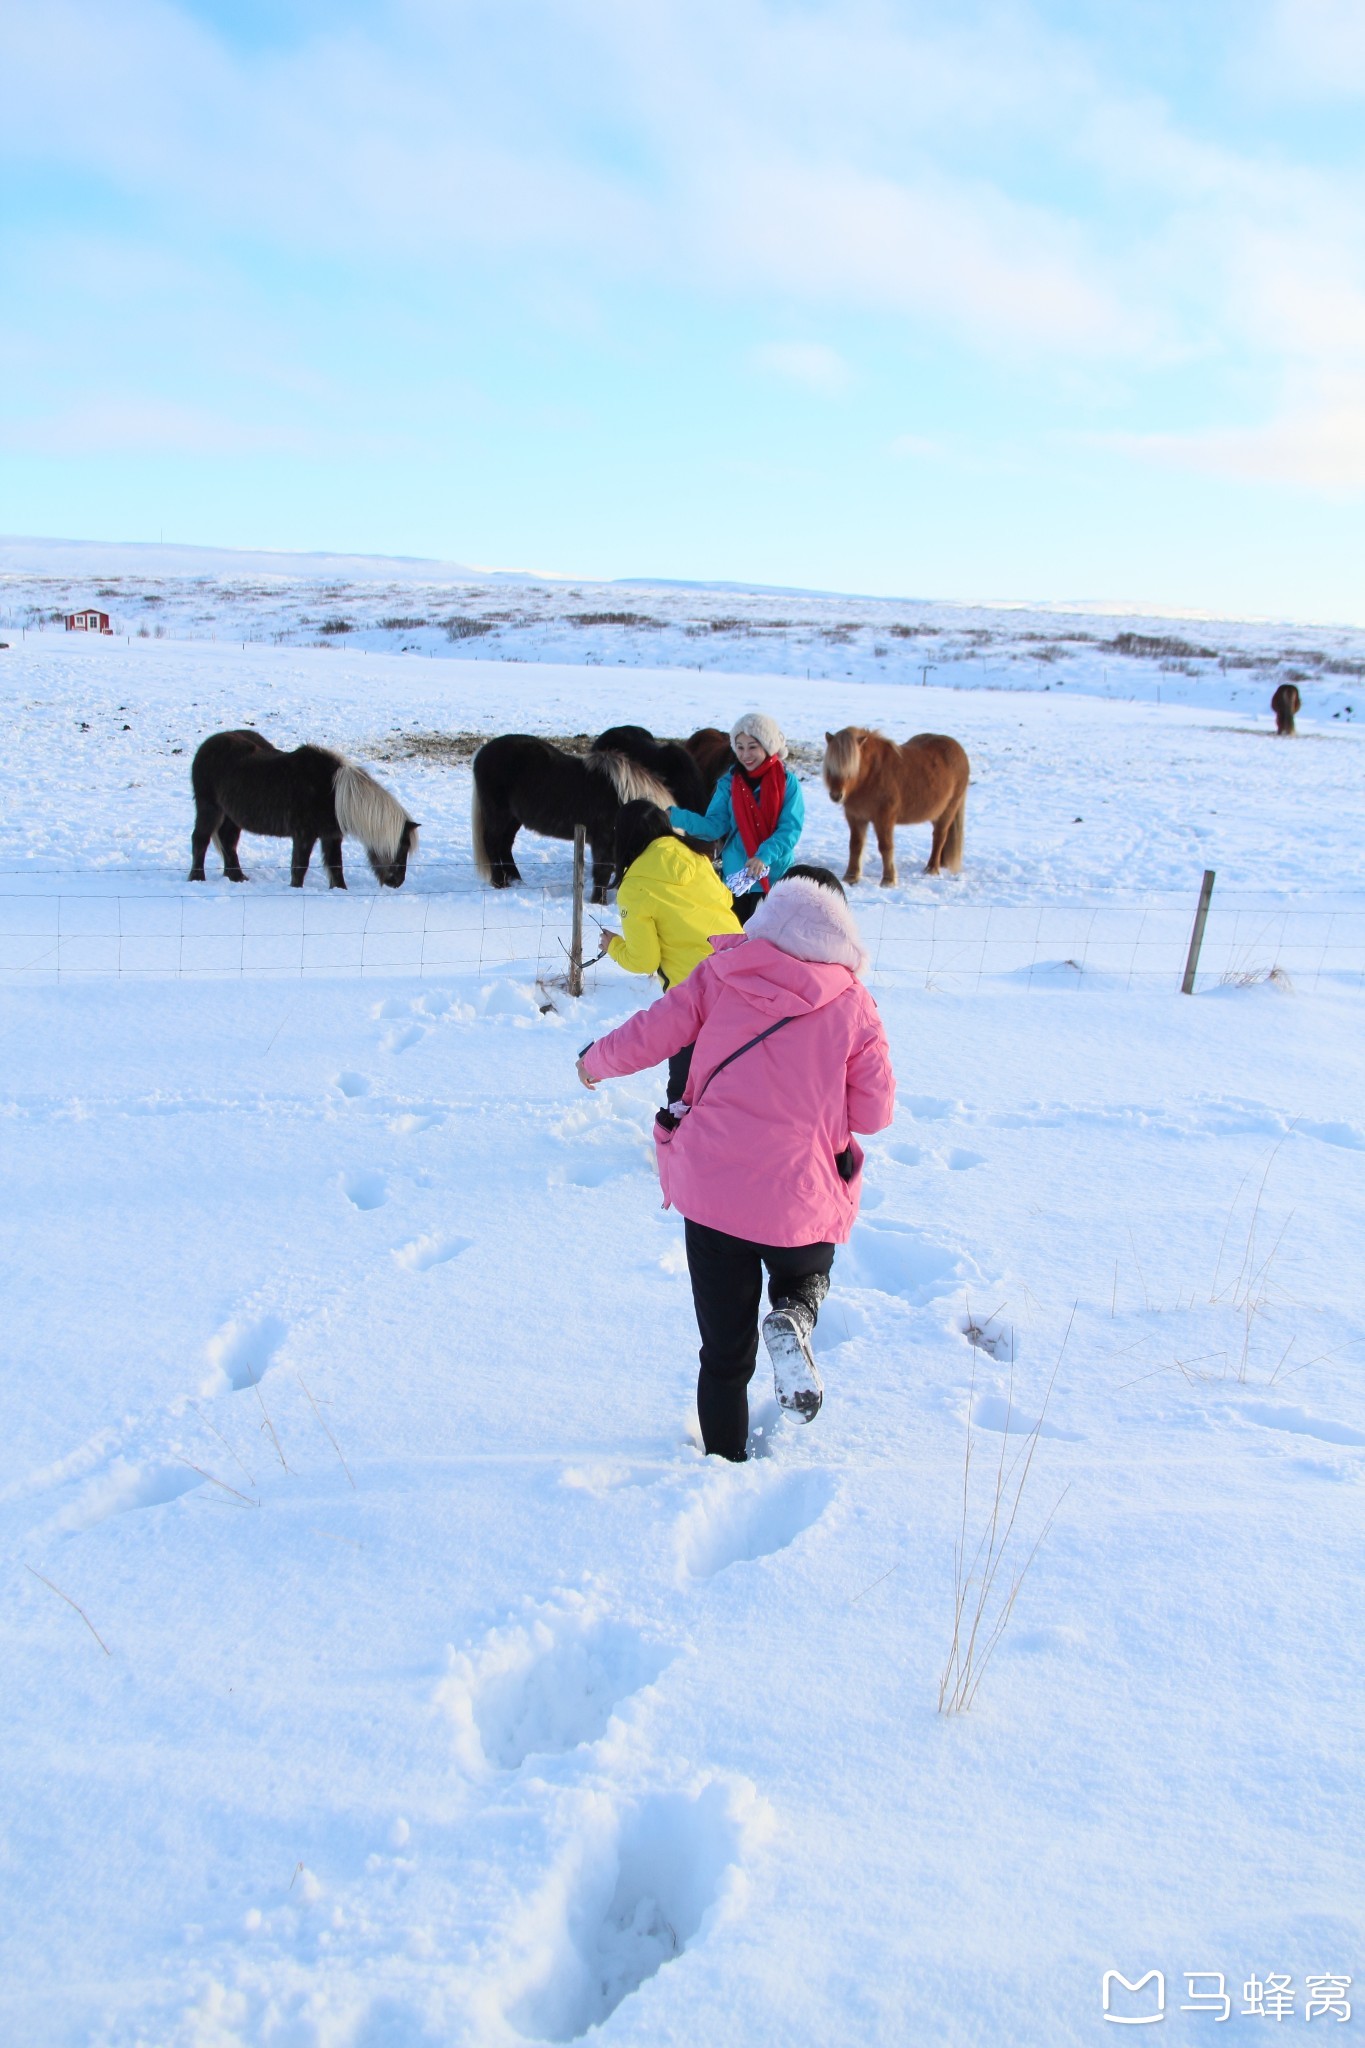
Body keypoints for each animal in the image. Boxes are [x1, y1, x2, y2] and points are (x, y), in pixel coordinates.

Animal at [189, 729, 419, 888]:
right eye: (402, 848)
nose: (397, 882)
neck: (334, 794)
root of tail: (208, 744)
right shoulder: (304, 835)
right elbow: (300, 866)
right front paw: (296, 889)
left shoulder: (331, 836)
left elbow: (336, 866)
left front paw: (340, 890)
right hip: (209, 807)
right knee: (200, 840)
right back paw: (197, 878)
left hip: (231, 815)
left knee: (228, 841)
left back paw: (236, 877)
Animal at [474, 733, 683, 901]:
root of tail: (482, 752)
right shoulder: (604, 842)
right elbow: (602, 873)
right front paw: (598, 901)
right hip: (498, 813)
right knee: (492, 843)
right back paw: (500, 882)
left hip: (513, 818)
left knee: (504, 845)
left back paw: (516, 880)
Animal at [822, 733, 970, 884]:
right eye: (830, 768)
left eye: (851, 770)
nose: (836, 795)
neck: (871, 776)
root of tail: (958, 749)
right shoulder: (855, 817)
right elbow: (855, 845)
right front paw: (851, 877)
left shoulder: (884, 818)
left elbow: (885, 847)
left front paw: (888, 881)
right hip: (935, 813)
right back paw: (941, 864)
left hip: (948, 810)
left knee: (939, 837)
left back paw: (932, 869)